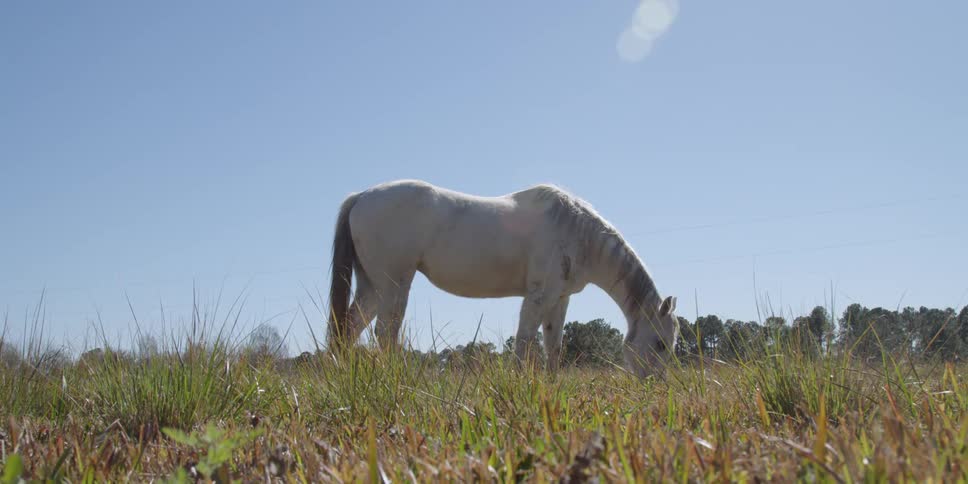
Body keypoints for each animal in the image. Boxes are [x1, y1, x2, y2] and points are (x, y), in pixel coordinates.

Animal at [326, 179, 680, 378]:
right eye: (661, 344)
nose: (656, 384)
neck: (577, 230)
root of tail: (361, 197)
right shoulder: (538, 296)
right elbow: (524, 341)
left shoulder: (559, 299)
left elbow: (553, 346)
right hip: (394, 285)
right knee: (385, 333)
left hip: (372, 287)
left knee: (349, 328)